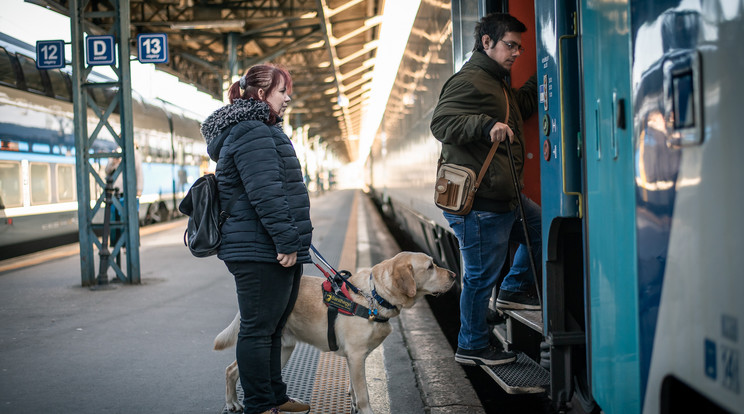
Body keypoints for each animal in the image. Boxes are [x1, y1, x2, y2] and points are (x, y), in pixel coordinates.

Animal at [214, 251, 454, 412]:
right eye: (430, 266)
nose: (453, 275)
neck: (374, 296)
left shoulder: (354, 357)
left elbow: (355, 388)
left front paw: (353, 402)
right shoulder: (356, 355)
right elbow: (364, 394)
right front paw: (365, 409)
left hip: (282, 349)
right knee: (230, 370)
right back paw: (232, 403)